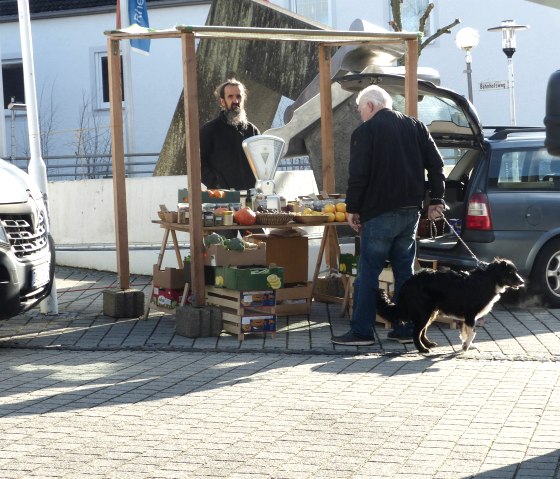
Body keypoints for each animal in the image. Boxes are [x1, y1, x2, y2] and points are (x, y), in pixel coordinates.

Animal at [376, 258, 524, 352]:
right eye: (510, 272)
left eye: (515, 271)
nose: (522, 282)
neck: (490, 279)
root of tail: (408, 282)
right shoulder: (470, 314)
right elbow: (472, 333)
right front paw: (466, 346)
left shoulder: (467, 317)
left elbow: (465, 332)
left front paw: (466, 344)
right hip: (424, 313)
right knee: (416, 332)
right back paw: (422, 349)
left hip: (431, 312)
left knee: (422, 331)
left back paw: (428, 344)